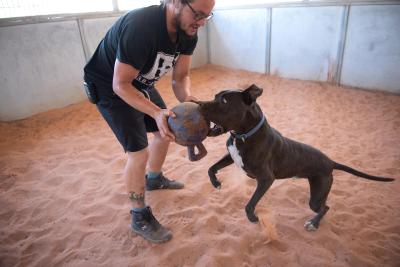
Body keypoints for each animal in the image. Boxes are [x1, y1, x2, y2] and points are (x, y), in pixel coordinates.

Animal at [197, 85, 394, 231]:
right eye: (216, 96)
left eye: (224, 101)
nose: (198, 104)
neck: (244, 135)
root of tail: (330, 162)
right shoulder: (231, 156)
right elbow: (210, 168)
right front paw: (216, 183)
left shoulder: (266, 179)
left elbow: (249, 204)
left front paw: (253, 217)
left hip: (316, 197)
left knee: (325, 207)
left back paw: (313, 223)